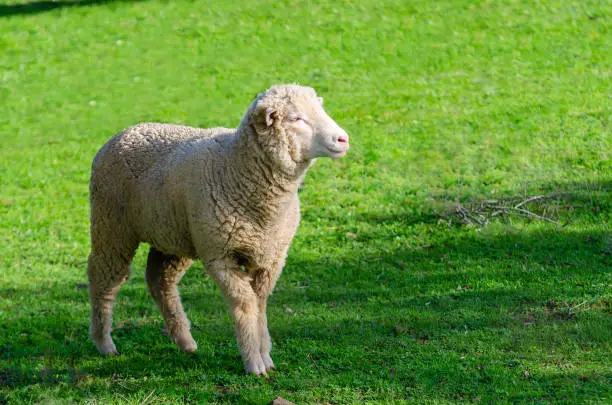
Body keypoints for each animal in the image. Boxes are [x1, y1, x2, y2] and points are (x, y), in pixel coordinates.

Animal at [88, 83, 352, 374]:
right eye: (296, 118)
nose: (343, 139)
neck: (235, 169)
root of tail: (124, 132)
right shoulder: (221, 257)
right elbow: (245, 305)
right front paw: (254, 362)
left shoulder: (271, 257)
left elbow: (260, 303)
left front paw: (265, 355)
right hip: (112, 226)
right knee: (104, 277)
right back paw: (104, 343)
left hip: (172, 235)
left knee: (160, 280)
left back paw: (185, 342)